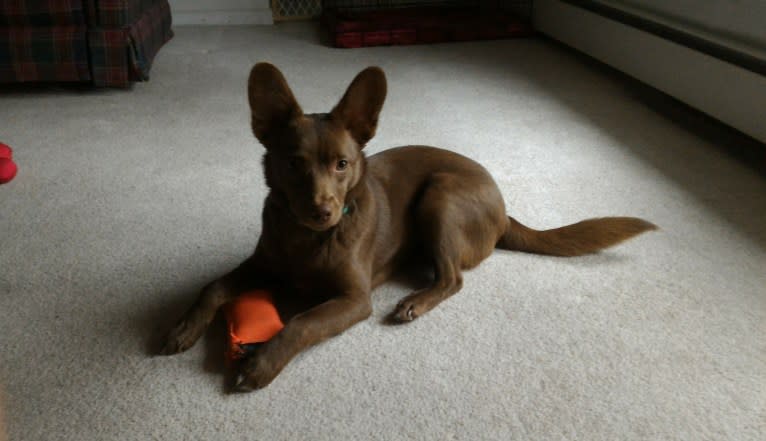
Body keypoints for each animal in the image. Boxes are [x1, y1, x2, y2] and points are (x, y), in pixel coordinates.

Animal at [160, 62, 656, 388]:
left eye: (342, 164)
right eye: (292, 163)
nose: (321, 212)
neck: (308, 239)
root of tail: (503, 208)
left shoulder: (353, 299)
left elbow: (301, 322)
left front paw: (262, 362)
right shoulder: (262, 264)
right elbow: (213, 286)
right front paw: (183, 327)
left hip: (440, 196)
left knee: (453, 278)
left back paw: (415, 301)